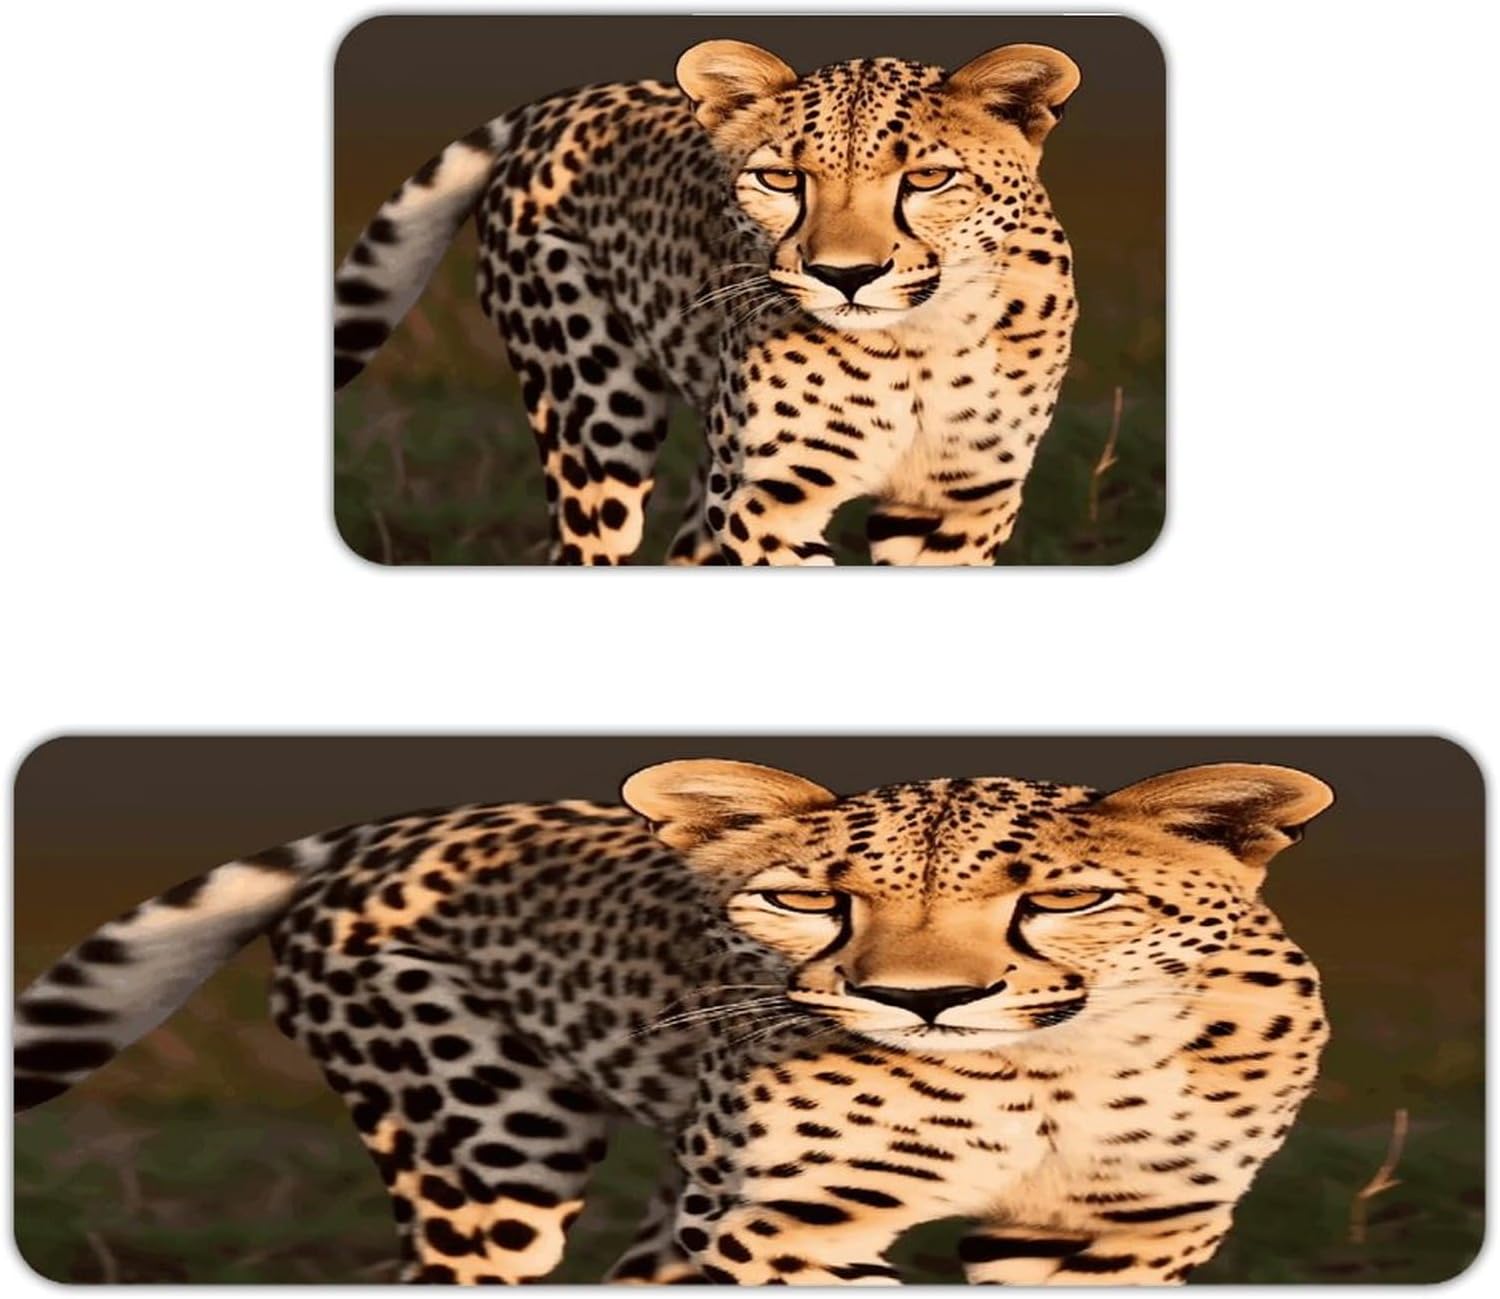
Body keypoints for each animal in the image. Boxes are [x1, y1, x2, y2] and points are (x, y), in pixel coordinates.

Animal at [15, 759, 1332, 1285]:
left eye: (1059, 900)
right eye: (808, 900)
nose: (918, 1001)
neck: (1055, 1073)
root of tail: (398, 823)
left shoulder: (1124, 1232)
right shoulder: (775, 1224)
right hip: (494, 1156)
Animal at [334, 39, 1081, 565]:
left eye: (927, 178)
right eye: (781, 179)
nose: (845, 275)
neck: (918, 344)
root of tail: (562, 99)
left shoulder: (957, 506)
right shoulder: (762, 501)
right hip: (598, 423)